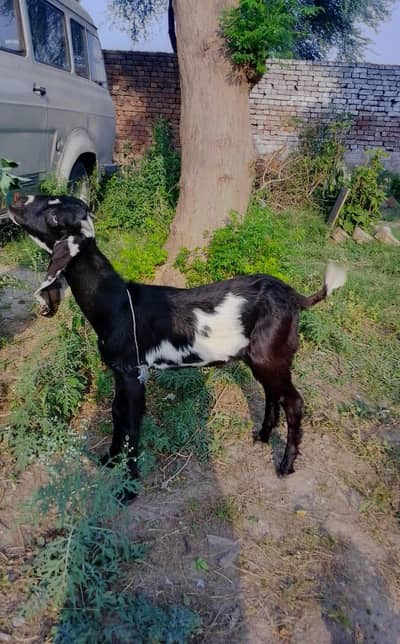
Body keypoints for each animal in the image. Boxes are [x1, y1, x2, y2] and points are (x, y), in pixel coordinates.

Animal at [9, 195, 346, 501]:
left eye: (54, 218)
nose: (14, 202)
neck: (117, 304)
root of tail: (294, 296)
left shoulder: (134, 373)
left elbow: (132, 422)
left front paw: (128, 489)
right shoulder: (120, 371)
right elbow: (117, 414)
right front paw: (108, 460)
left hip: (270, 356)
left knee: (294, 401)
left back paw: (285, 465)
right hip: (261, 358)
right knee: (271, 393)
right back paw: (262, 436)